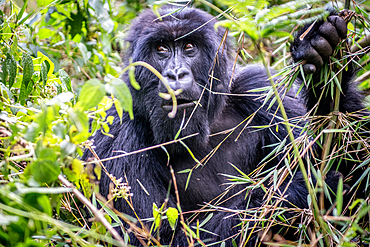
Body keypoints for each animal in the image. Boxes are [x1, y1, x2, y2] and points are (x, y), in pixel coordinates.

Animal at [82, 4, 368, 247]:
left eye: (189, 46)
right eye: (161, 50)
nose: (175, 74)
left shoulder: (261, 91)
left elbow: (354, 170)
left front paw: (324, 59)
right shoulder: (115, 134)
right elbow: (160, 237)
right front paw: (295, 192)